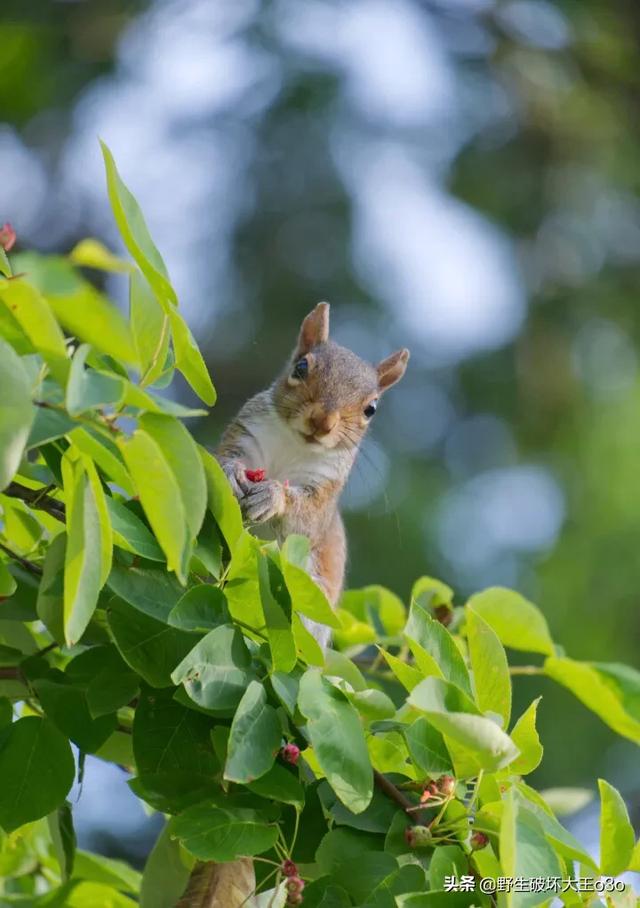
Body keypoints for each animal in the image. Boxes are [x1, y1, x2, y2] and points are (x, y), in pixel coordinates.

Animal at [218, 304, 410, 644]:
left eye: (371, 409)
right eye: (301, 367)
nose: (323, 422)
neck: (294, 444)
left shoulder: (326, 485)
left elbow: (307, 519)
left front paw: (274, 497)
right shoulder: (243, 434)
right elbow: (221, 458)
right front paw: (232, 472)